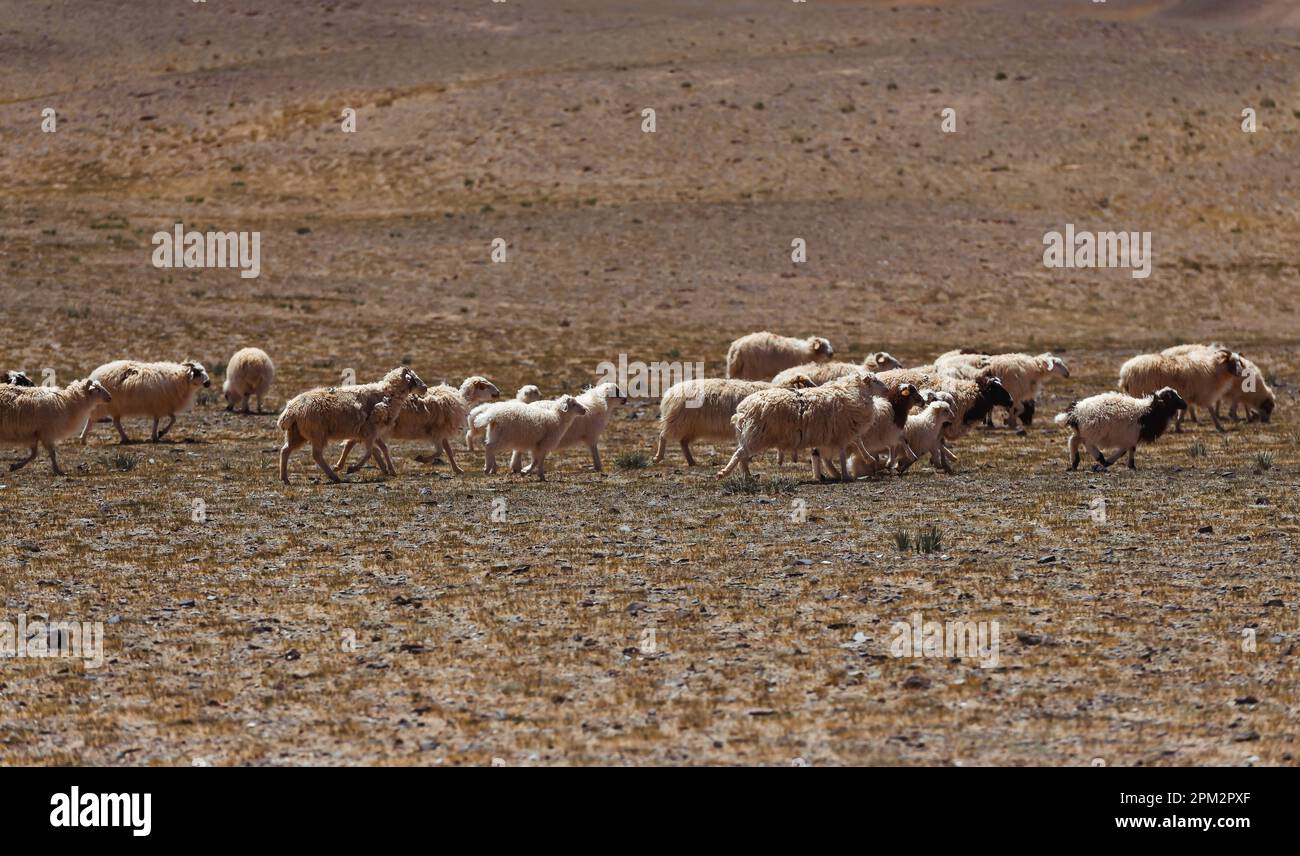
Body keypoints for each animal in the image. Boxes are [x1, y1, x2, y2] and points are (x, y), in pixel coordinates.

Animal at [80, 360, 211, 443]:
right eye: (197, 372)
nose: (208, 383)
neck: (180, 379)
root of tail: (94, 375)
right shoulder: (160, 405)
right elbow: (162, 421)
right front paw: (158, 434)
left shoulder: (164, 406)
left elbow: (172, 419)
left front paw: (158, 434)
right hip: (101, 405)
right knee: (91, 420)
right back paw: (83, 439)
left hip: (115, 407)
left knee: (116, 422)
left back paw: (125, 438)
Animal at [277, 366, 427, 484]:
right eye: (414, 378)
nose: (425, 388)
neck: (387, 394)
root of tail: (291, 410)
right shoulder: (369, 431)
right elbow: (369, 452)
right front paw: (352, 468)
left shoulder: (368, 432)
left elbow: (380, 449)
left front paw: (388, 469)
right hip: (316, 433)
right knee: (316, 455)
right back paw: (334, 476)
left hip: (297, 433)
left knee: (285, 450)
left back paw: (285, 478)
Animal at [335, 376, 500, 475]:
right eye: (483, 386)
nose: (498, 392)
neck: (460, 399)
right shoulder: (436, 431)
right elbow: (440, 451)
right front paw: (421, 459)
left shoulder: (441, 432)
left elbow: (448, 451)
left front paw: (457, 469)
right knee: (353, 444)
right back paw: (345, 466)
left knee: (358, 444)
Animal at [717, 372, 916, 482]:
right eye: (874, 381)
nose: (887, 390)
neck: (854, 392)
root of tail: (743, 409)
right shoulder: (842, 431)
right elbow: (843, 454)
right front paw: (845, 475)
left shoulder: (843, 431)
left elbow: (857, 442)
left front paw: (865, 459)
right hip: (757, 435)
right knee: (740, 454)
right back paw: (724, 473)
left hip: (753, 435)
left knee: (743, 456)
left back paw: (748, 477)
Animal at [1054, 387, 1187, 471]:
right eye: (1171, 396)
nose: (1185, 404)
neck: (1148, 412)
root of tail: (1075, 411)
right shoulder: (1130, 436)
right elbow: (1126, 450)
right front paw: (1114, 462)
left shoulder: (1130, 437)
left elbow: (1129, 449)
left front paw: (1130, 465)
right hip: (1092, 431)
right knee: (1086, 443)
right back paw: (1100, 458)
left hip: (1083, 431)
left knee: (1073, 441)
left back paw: (1075, 463)